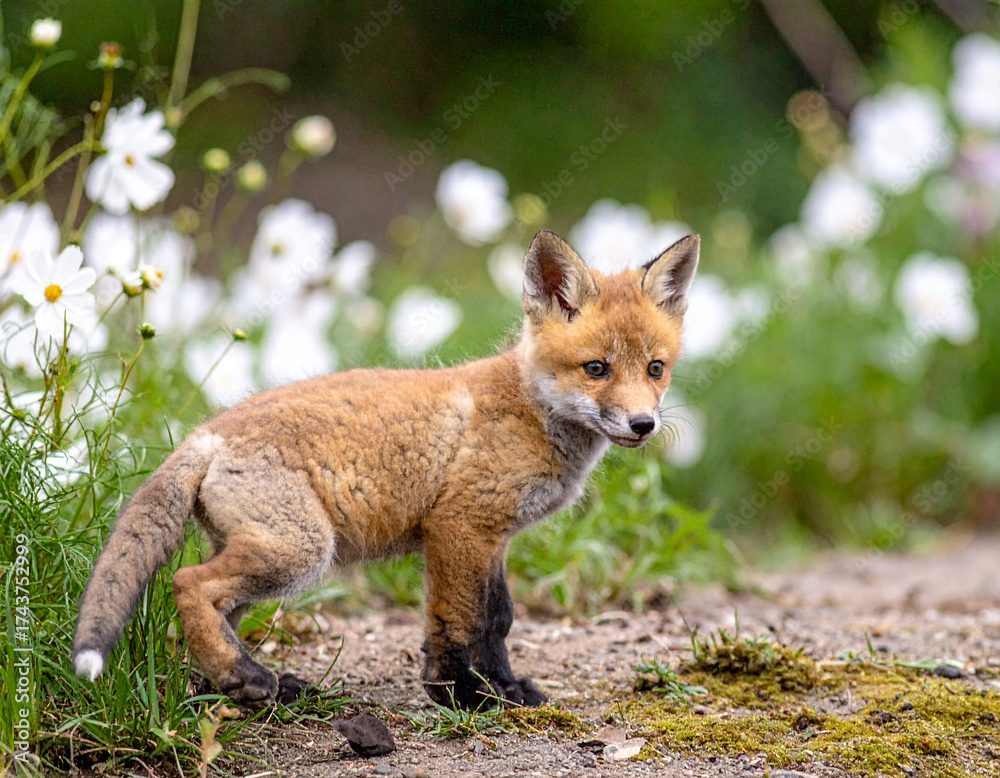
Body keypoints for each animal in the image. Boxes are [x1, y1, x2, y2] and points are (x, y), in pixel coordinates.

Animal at [72, 229, 699, 709]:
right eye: (596, 368)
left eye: (655, 368)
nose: (643, 424)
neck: (530, 409)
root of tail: (207, 432)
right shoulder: (459, 527)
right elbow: (461, 624)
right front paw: (464, 696)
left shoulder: (492, 539)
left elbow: (497, 619)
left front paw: (502, 687)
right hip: (300, 550)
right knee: (187, 583)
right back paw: (245, 678)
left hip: (265, 550)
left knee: (206, 605)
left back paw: (235, 684)